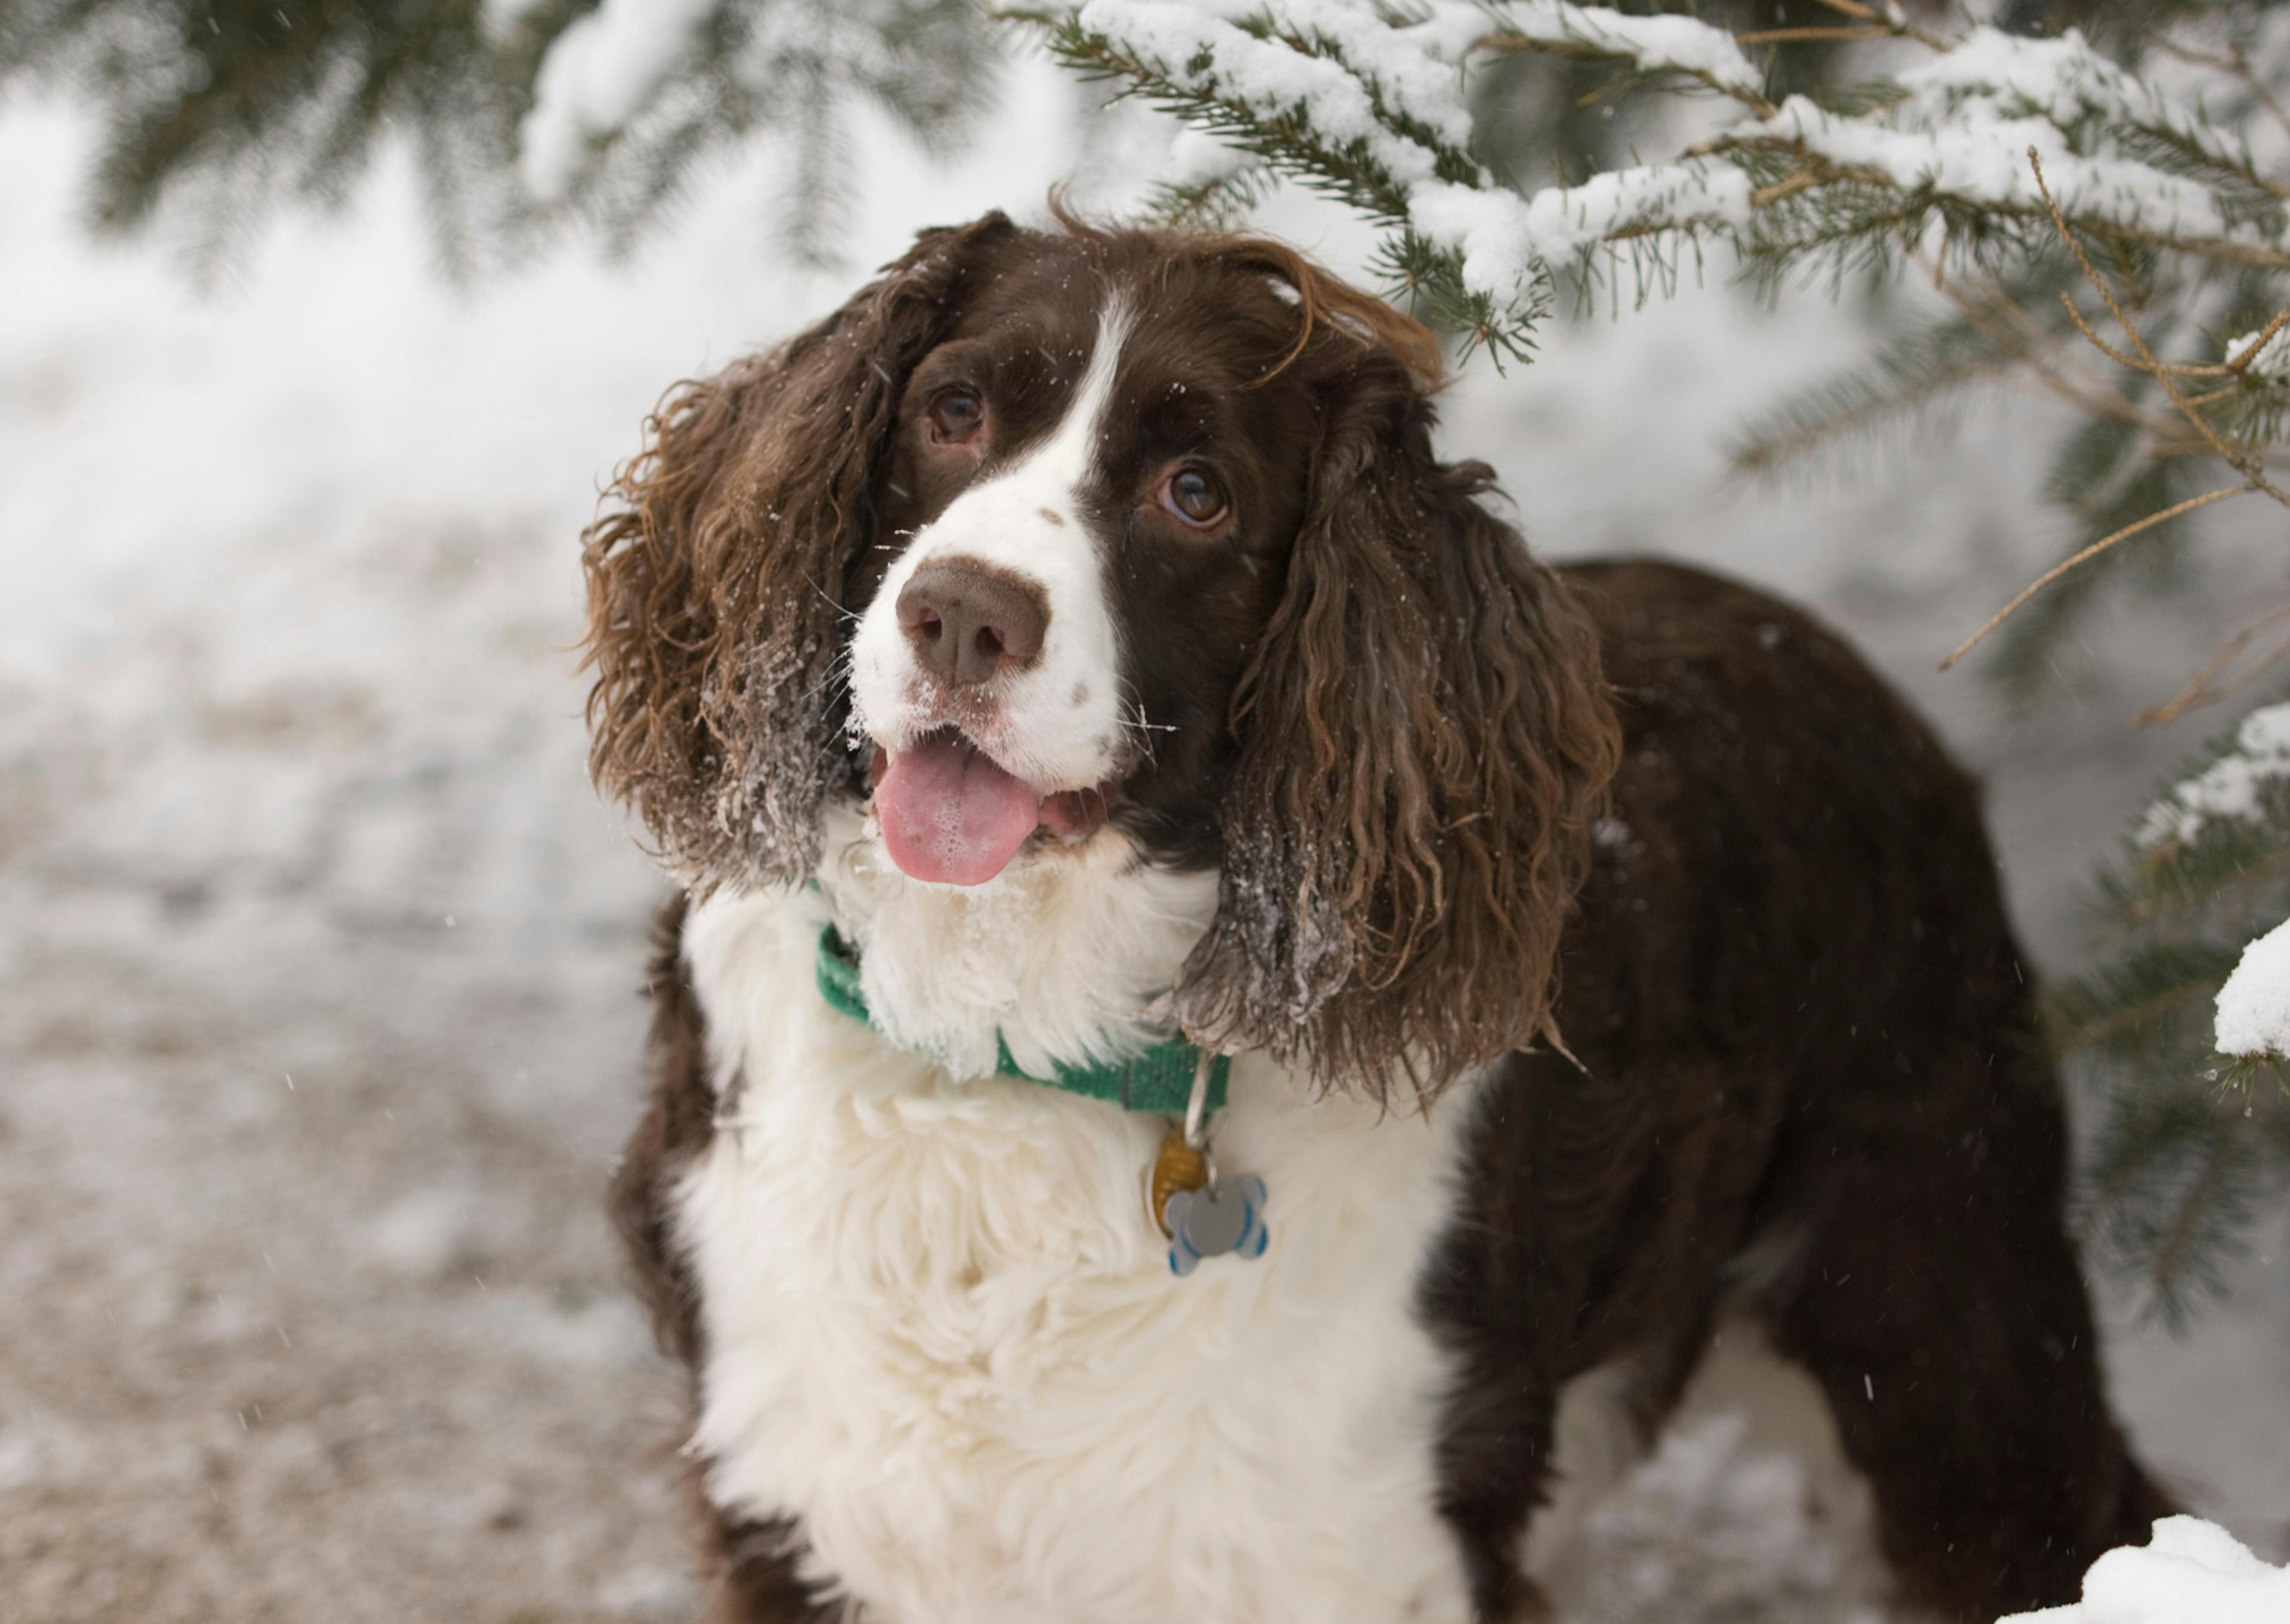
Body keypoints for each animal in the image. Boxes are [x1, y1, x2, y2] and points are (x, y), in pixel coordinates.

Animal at [581, 215, 2171, 1622]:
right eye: (952, 409)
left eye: (1197, 494)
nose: (963, 616)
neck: (1011, 1053)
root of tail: (1845, 664)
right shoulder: (799, 1496)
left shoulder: (1361, 1541)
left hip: (1939, 1306)